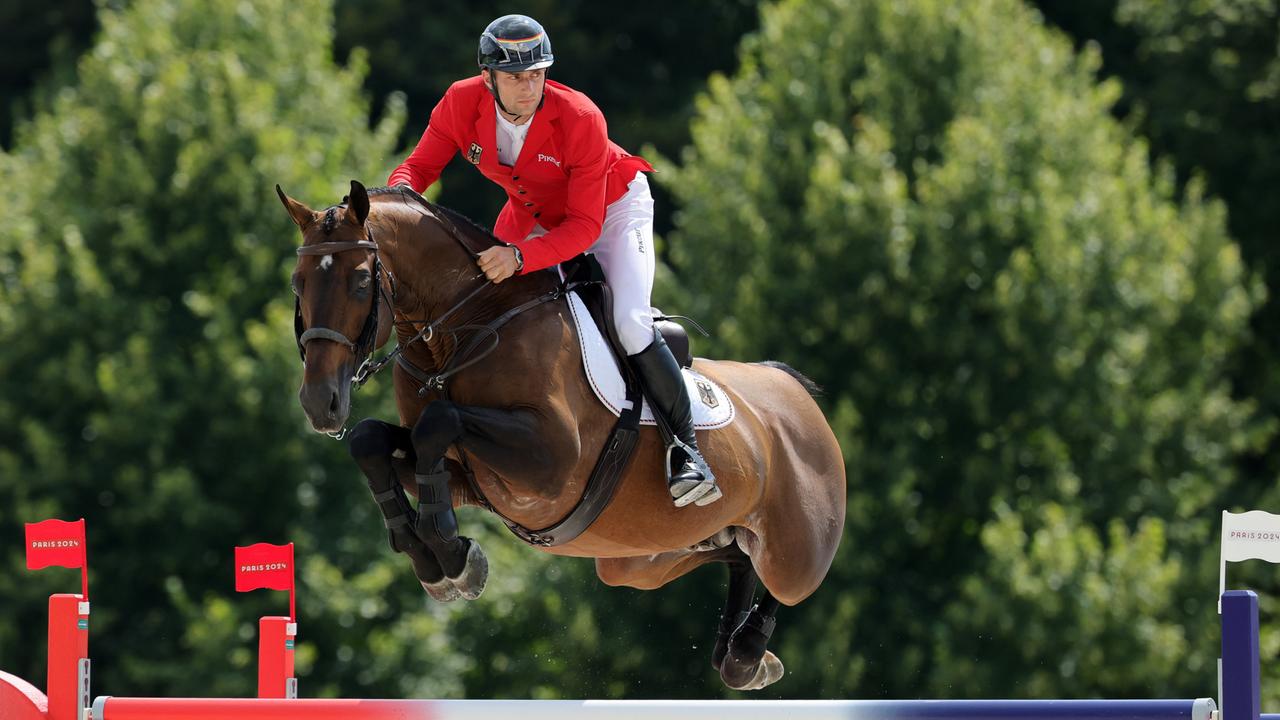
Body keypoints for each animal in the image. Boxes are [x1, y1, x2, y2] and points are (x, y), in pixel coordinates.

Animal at [277, 180, 849, 691]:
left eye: (358, 282)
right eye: (298, 283)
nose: (320, 403)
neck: (465, 331)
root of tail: (795, 394)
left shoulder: (548, 464)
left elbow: (441, 421)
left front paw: (454, 556)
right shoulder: (468, 476)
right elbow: (371, 440)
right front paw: (434, 560)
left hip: (796, 554)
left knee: (780, 580)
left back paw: (748, 651)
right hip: (641, 560)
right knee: (734, 551)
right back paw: (736, 651)